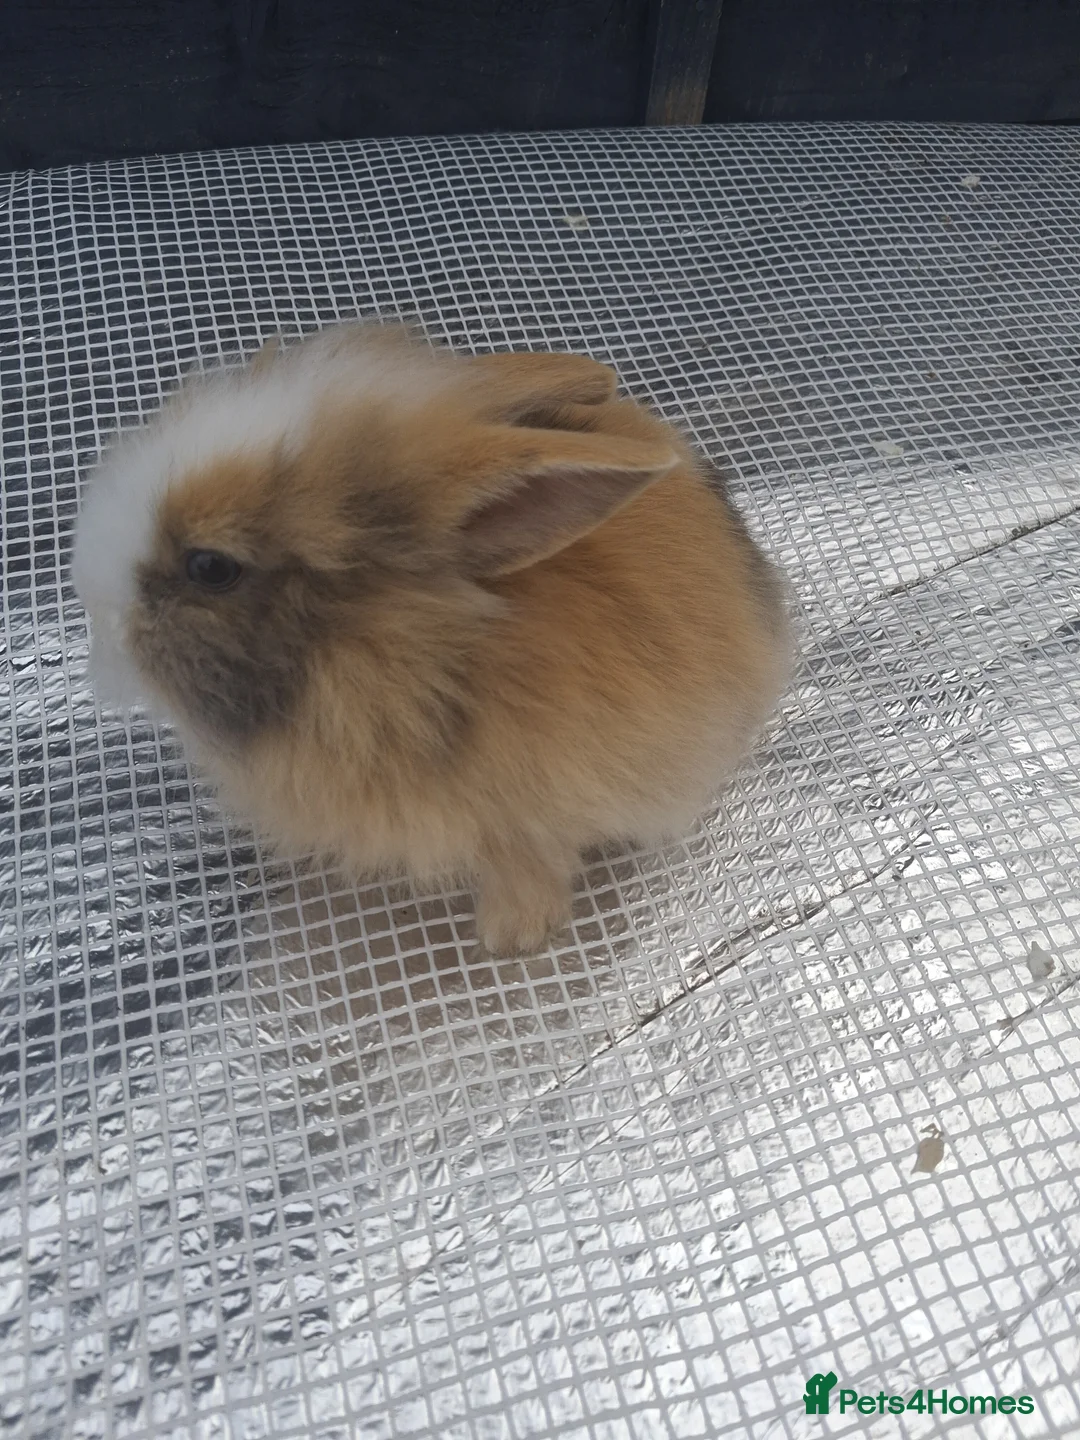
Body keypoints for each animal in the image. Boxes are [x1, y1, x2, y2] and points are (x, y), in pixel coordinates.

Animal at [73, 321, 791, 955]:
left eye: (211, 567)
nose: (100, 617)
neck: (390, 649)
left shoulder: (530, 810)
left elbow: (531, 866)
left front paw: (511, 938)